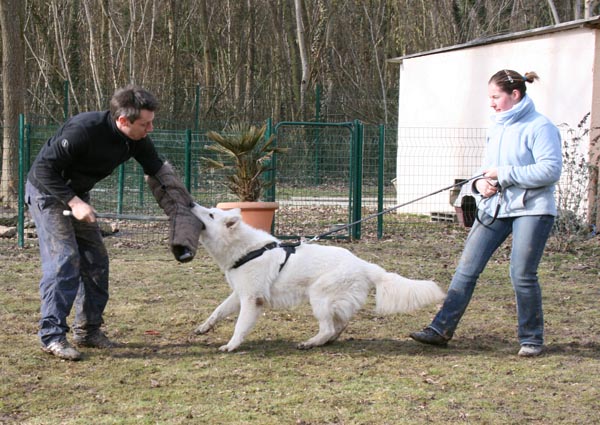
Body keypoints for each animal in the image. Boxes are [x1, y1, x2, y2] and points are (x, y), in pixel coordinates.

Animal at [192, 204, 446, 350]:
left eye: (210, 214)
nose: (192, 203)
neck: (246, 250)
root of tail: (365, 266)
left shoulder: (252, 300)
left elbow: (239, 326)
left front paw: (231, 345)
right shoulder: (239, 294)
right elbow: (218, 311)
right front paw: (204, 327)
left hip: (319, 297)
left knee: (328, 328)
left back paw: (311, 342)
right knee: (338, 325)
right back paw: (328, 340)